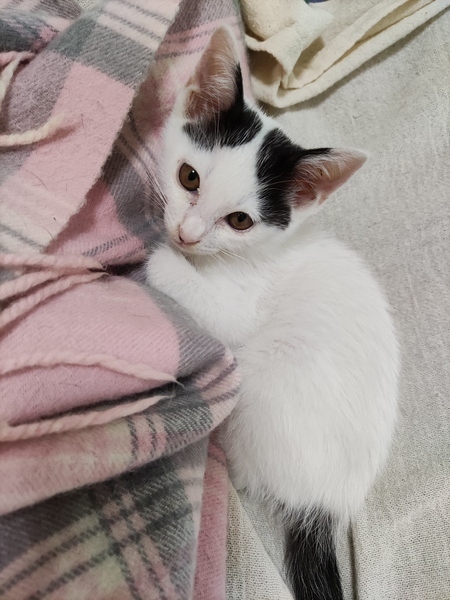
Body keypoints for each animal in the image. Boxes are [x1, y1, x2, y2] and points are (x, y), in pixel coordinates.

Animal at [146, 26, 399, 600]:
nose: (186, 234)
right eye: (189, 177)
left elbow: (208, 302)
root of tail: (328, 503)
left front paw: (157, 258)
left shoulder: (242, 299)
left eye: (240, 221)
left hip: (263, 387)